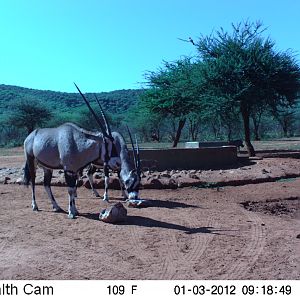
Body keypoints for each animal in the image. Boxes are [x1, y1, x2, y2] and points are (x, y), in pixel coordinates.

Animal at [22, 83, 116, 219]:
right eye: (107, 143)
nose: (116, 162)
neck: (76, 141)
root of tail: (30, 136)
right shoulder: (68, 170)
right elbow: (70, 190)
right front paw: (71, 213)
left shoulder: (74, 170)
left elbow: (73, 188)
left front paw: (75, 210)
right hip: (31, 162)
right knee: (33, 181)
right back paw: (35, 206)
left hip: (47, 168)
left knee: (46, 184)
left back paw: (56, 207)